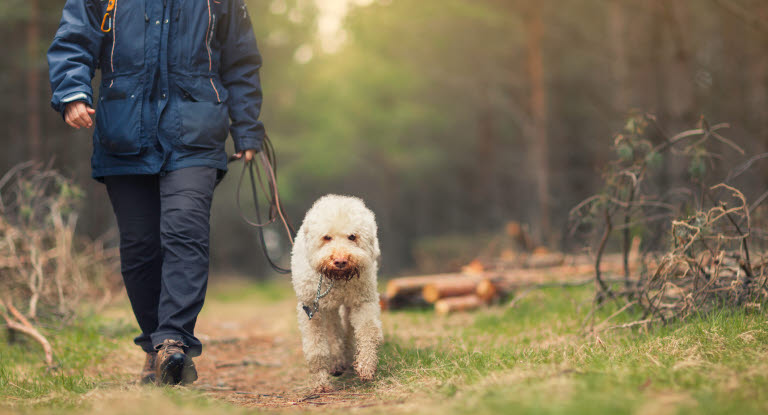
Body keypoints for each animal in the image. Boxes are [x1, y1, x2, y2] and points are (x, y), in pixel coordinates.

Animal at [290, 195, 382, 394]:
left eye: (352, 236)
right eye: (327, 237)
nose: (340, 261)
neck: (337, 279)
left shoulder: (362, 302)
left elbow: (367, 332)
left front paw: (365, 366)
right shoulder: (310, 309)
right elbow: (316, 348)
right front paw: (321, 383)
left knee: (346, 330)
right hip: (326, 307)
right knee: (334, 330)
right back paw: (338, 361)